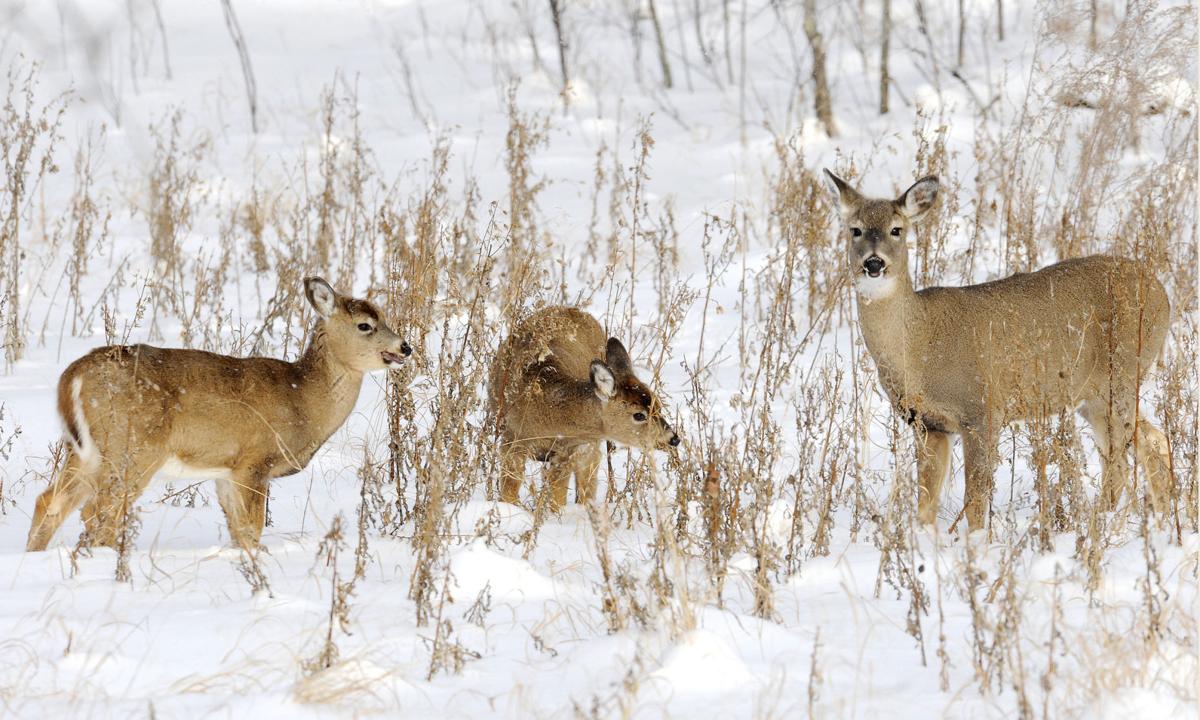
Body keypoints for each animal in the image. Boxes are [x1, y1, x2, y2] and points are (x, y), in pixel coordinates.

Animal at [26, 277, 411, 552]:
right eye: (365, 325)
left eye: (385, 316)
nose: (405, 347)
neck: (302, 397)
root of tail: (72, 375)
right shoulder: (255, 462)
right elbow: (252, 530)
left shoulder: (225, 471)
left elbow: (239, 533)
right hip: (133, 448)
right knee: (99, 510)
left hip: (84, 449)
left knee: (50, 502)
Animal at [488, 306, 680, 509]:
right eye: (639, 415)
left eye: (659, 406)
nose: (673, 439)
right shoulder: (512, 438)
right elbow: (509, 492)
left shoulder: (568, 451)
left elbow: (557, 498)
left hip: (589, 446)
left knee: (587, 484)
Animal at [823, 169, 1173, 531]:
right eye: (855, 230)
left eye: (897, 229)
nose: (873, 263)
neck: (919, 345)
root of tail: (1161, 291)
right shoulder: (928, 424)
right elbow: (925, 503)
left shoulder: (981, 411)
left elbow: (975, 501)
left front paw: (976, 543)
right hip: (1093, 396)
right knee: (1153, 442)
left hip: (1119, 378)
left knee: (1120, 461)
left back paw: (1099, 526)